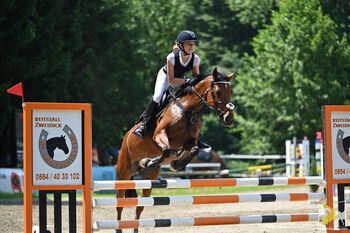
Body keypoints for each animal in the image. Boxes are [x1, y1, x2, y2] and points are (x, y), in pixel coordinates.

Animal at [115, 67, 235, 233]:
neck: (189, 110)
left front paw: (175, 164)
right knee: (119, 204)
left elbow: (194, 149)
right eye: (218, 92)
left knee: (140, 207)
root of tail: (125, 137)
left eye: (231, 91)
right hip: (123, 173)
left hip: (148, 181)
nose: (229, 118)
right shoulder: (160, 135)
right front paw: (150, 162)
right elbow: (166, 151)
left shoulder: (190, 141)